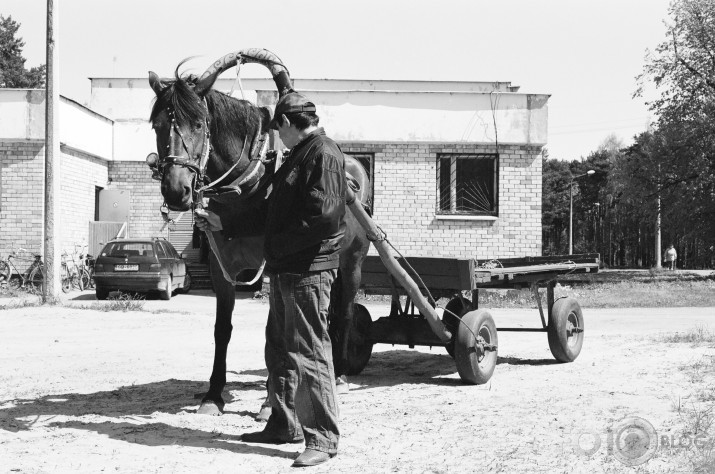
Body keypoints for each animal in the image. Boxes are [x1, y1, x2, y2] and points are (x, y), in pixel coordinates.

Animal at [143, 47, 372, 412]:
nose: (176, 190)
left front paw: (270, 399)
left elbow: (274, 332)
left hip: (353, 262)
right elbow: (223, 328)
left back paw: (338, 375)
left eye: (199, 124)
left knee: (345, 314)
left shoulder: (271, 268)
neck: (248, 183)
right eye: (158, 124)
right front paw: (213, 394)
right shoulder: (220, 267)